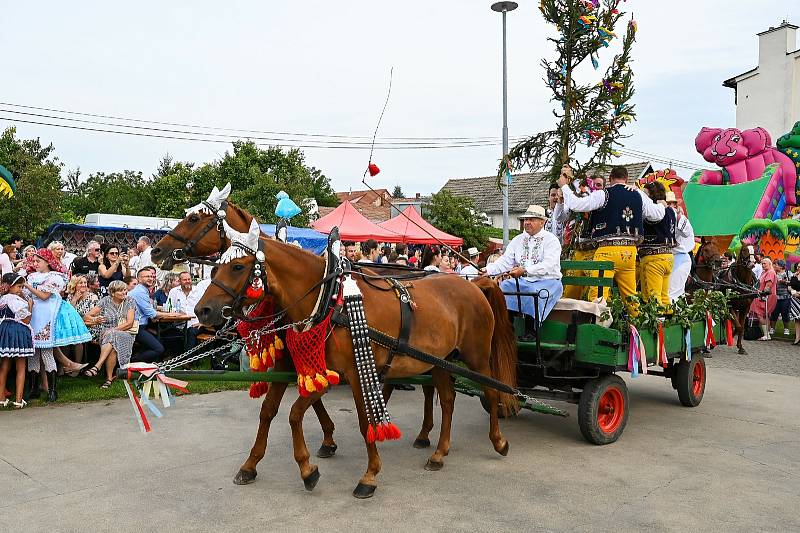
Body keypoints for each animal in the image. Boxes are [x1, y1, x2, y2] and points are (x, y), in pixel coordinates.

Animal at [195, 235, 520, 496]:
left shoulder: (351, 373)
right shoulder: (326, 373)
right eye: (214, 268)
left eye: (238, 267)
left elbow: (357, 422)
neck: (329, 301)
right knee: (449, 400)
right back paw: (439, 453)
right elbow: (277, 412)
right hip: (441, 360)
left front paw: (368, 475)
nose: (203, 310)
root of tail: (475, 283)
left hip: (476, 357)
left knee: (492, 393)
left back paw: (499, 441)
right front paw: (262, 466)